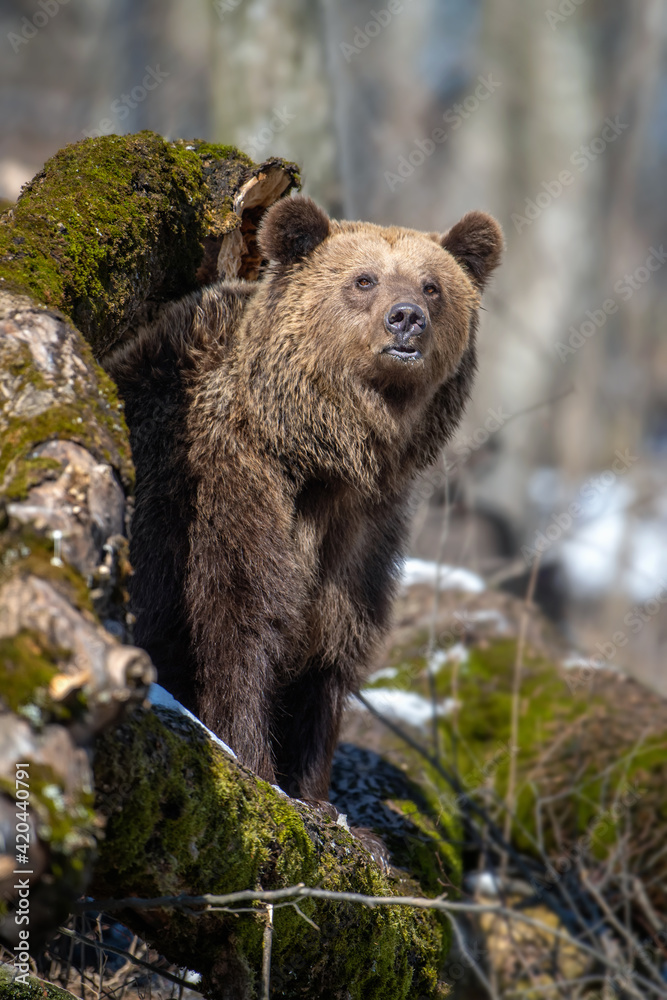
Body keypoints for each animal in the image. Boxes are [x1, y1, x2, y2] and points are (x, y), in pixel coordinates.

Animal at [104, 195, 503, 803]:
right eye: (364, 279)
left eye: (432, 285)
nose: (407, 317)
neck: (320, 454)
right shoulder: (222, 488)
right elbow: (240, 620)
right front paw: (256, 764)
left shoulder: (365, 530)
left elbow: (331, 647)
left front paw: (317, 794)